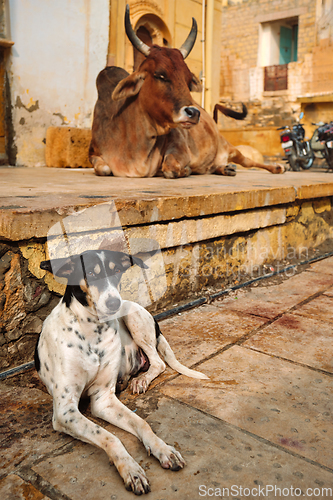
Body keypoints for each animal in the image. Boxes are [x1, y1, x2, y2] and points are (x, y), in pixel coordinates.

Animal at [35, 250, 208, 496]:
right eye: (90, 273)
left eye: (117, 270)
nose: (113, 302)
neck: (93, 330)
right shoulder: (65, 411)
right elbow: (110, 436)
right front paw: (131, 469)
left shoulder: (103, 398)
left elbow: (142, 423)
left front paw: (163, 448)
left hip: (133, 317)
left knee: (158, 363)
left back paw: (140, 380)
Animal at [88, 5, 282, 179]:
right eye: (160, 75)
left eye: (189, 80)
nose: (193, 112)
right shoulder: (94, 153)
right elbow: (103, 169)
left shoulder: (179, 147)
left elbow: (170, 169)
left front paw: (185, 170)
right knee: (217, 167)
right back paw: (225, 168)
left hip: (229, 147)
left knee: (249, 161)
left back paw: (277, 167)